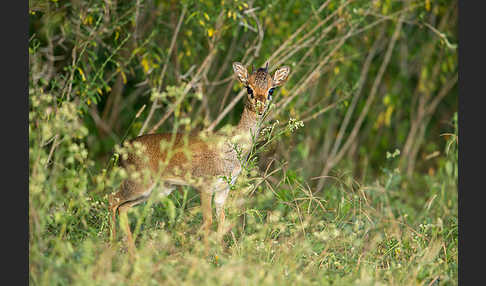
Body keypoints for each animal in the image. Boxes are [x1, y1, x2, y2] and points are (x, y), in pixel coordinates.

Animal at [108, 61, 290, 254]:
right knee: (112, 200)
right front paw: (206, 254)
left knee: (123, 208)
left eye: (271, 89)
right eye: (249, 88)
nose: (260, 107)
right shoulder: (206, 187)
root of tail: (123, 149)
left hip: (157, 190)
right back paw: (112, 246)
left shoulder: (223, 190)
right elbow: (208, 220)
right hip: (139, 184)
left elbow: (221, 221)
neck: (231, 148)